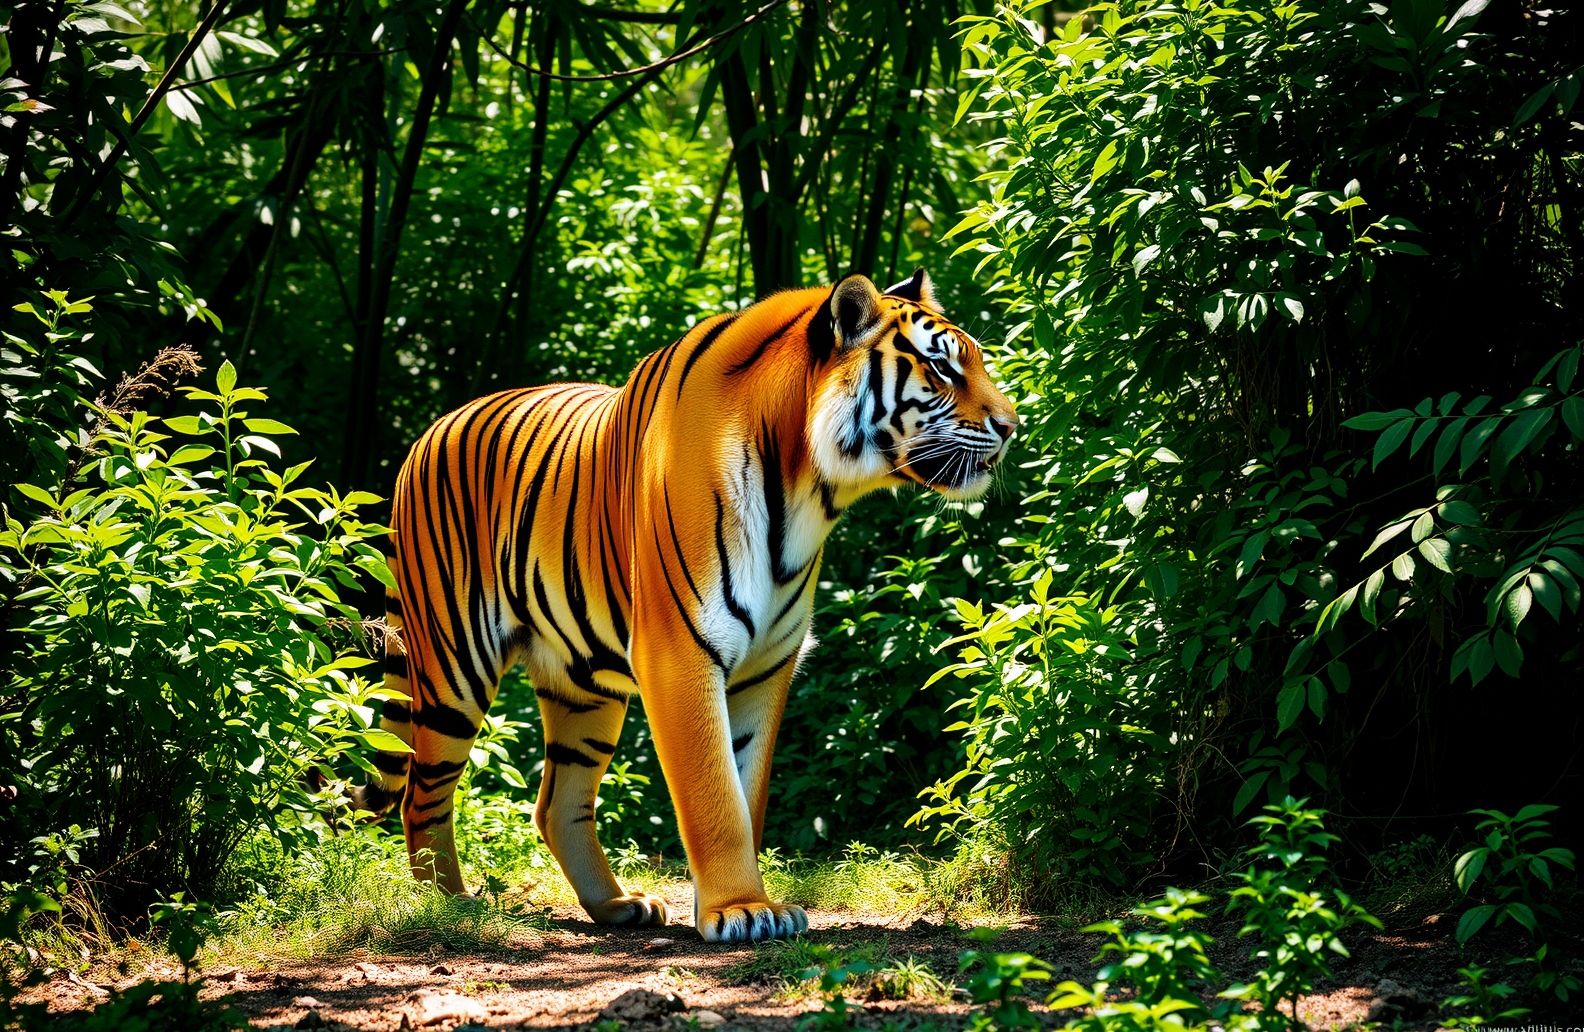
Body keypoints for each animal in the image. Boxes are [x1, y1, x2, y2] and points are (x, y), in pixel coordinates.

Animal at [351, 270, 1017, 943]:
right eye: (941, 368)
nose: (1012, 426)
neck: (808, 490)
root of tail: (428, 434)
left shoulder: (767, 665)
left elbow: (747, 791)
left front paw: (735, 905)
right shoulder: (680, 653)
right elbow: (713, 794)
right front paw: (740, 910)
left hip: (583, 684)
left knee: (556, 803)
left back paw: (617, 906)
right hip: (454, 665)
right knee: (420, 793)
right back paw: (450, 905)